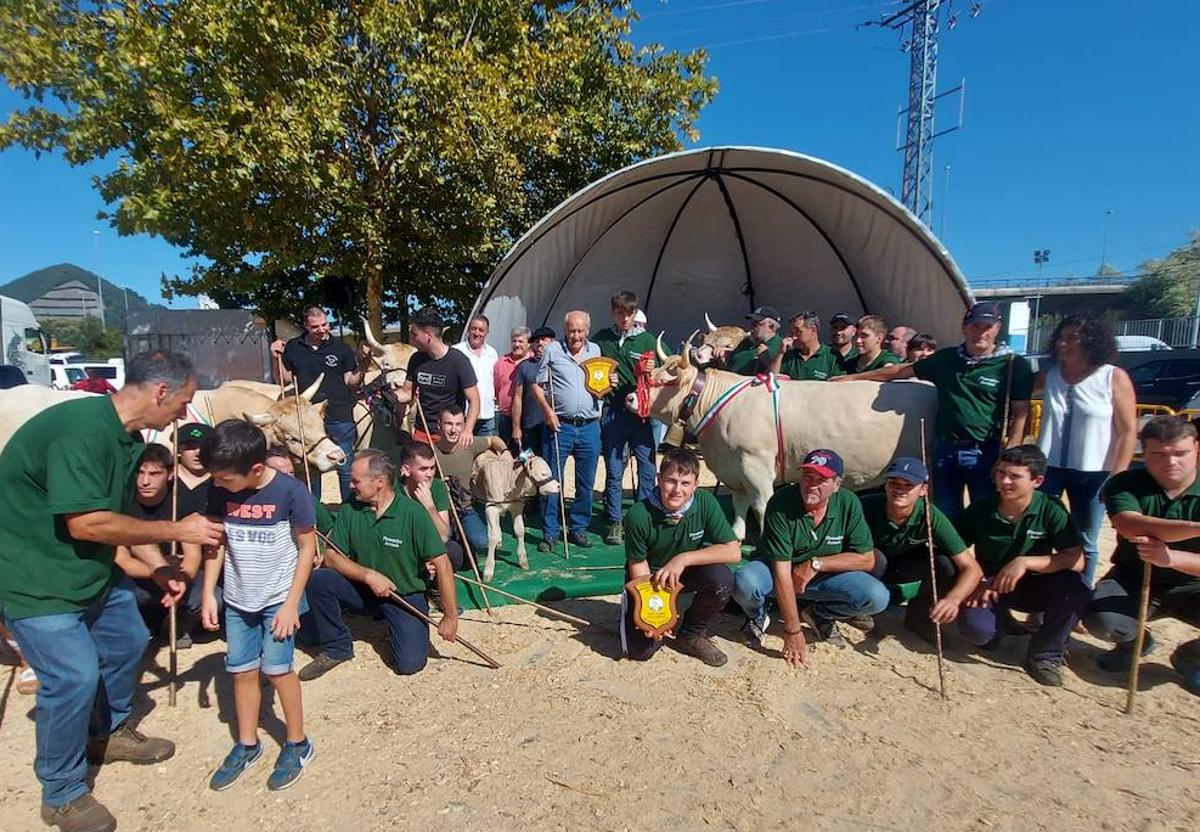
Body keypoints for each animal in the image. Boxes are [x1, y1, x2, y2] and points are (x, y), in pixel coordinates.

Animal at [470, 451, 559, 581]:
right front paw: (488, 571)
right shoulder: (491, 508)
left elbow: (519, 530)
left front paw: (523, 561)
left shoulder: (517, 507)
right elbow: (492, 537)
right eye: (543, 473)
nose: (558, 486)